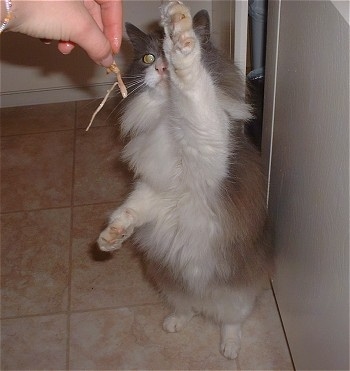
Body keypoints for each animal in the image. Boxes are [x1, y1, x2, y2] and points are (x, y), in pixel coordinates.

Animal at [97, 0, 272, 360]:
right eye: (148, 58)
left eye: (162, 54)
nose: (162, 68)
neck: (168, 118)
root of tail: (204, 301)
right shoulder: (156, 190)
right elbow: (131, 209)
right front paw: (111, 238)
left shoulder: (205, 142)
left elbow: (193, 90)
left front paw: (180, 33)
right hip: (171, 286)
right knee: (185, 308)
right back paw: (174, 323)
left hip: (237, 297)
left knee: (231, 322)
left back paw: (230, 349)